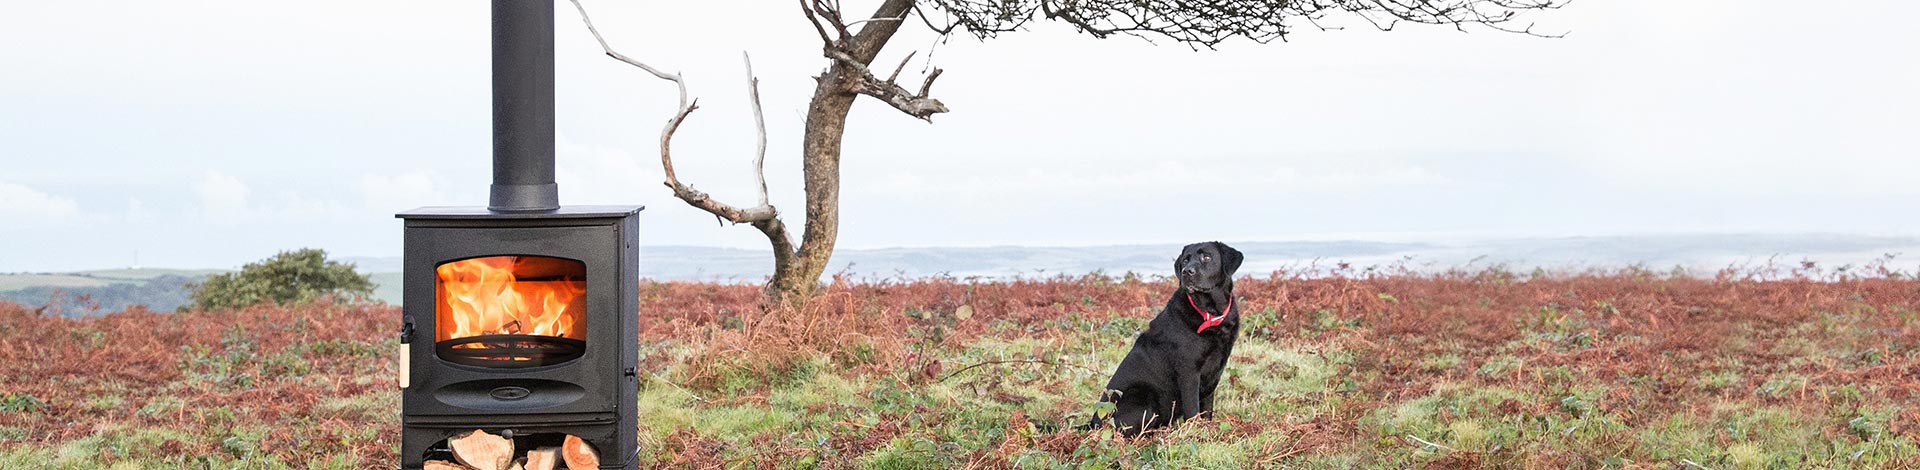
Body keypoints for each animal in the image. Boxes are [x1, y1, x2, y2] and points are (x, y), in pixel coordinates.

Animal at [1090, 242, 1236, 437]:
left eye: (1207, 257)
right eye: (1185, 260)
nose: (1187, 272)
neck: (1211, 314)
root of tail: (1093, 424)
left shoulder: (1214, 374)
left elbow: (1207, 409)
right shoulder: (1189, 372)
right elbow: (1193, 409)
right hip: (1143, 396)